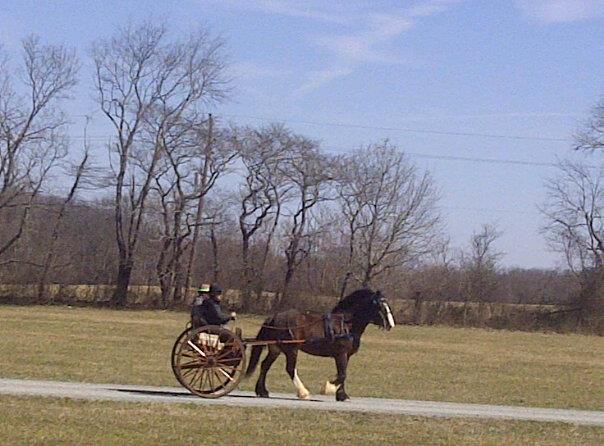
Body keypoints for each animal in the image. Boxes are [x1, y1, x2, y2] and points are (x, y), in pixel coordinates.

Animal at [245, 288, 396, 402]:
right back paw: (303, 392)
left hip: (275, 349)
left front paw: (342, 395)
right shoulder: (341, 354)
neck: (346, 324)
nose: (391, 324)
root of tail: (274, 317)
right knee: (290, 368)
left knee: (265, 365)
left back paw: (262, 391)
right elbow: (342, 374)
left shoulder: (346, 355)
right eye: (379, 305)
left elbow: (343, 374)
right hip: (291, 349)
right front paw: (328, 388)